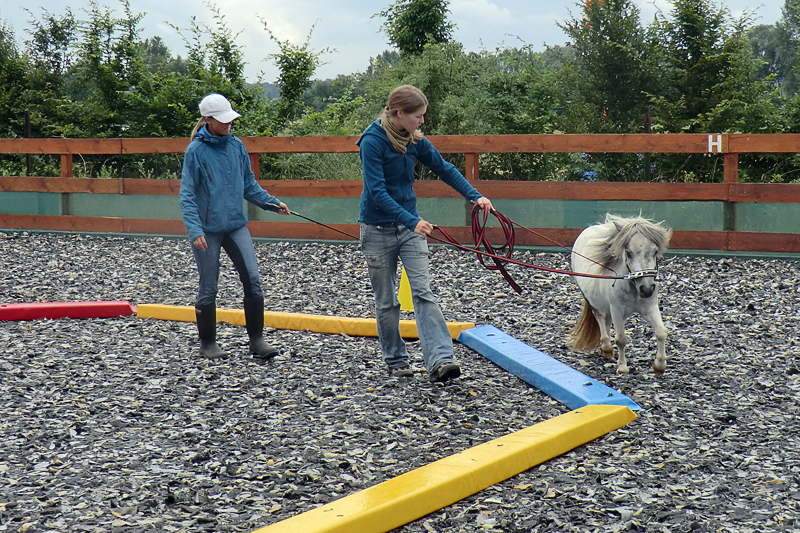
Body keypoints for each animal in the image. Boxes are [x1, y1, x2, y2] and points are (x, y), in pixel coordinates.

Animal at [564, 213, 672, 374]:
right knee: (600, 317)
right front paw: (622, 367)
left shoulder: (650, 308)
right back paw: (606, 347)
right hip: (594, 302)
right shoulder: (617, 310)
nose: (646, 289)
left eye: (654, 251)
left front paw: (659, 366)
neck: (632, 287)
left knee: (607, 321)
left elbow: (661, 332)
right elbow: (621, 339)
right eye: (628, 253)